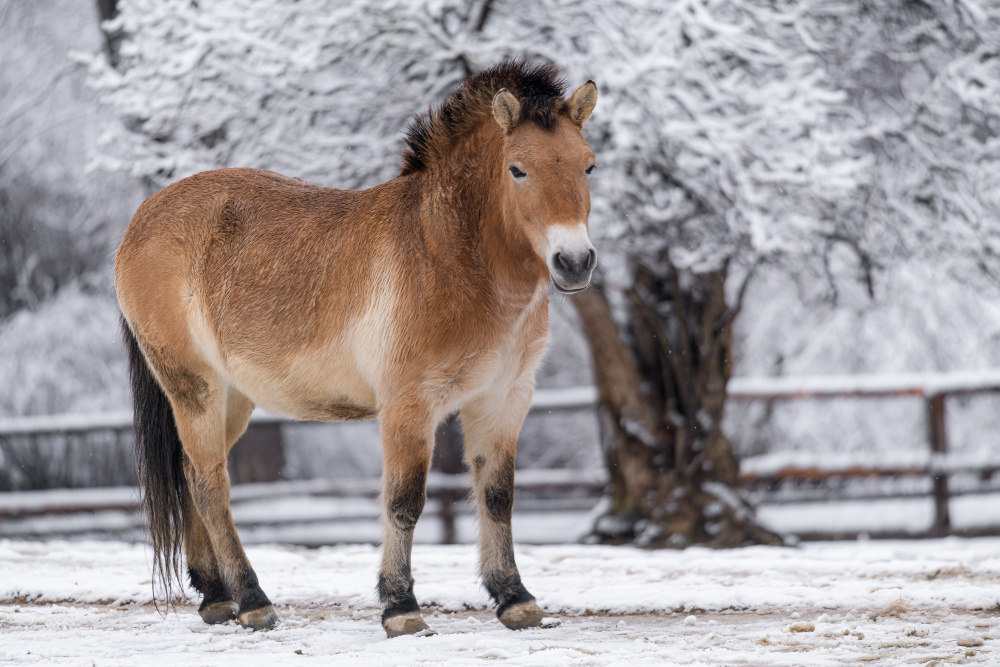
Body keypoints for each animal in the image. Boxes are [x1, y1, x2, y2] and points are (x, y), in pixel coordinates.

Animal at [117, 61, 600, 636]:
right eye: (517, 169)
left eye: (589, 166)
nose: (575, 262)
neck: (448, 254)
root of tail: (141, 220)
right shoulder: (408, 406)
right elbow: (404, 502)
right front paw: (400, 607)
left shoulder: (504, 399)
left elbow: (497, 497)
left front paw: (514, 598)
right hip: (195, 388)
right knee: (213, 487)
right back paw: (253, 601)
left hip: (232, 398)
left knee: (192, 477)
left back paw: (216, 597)